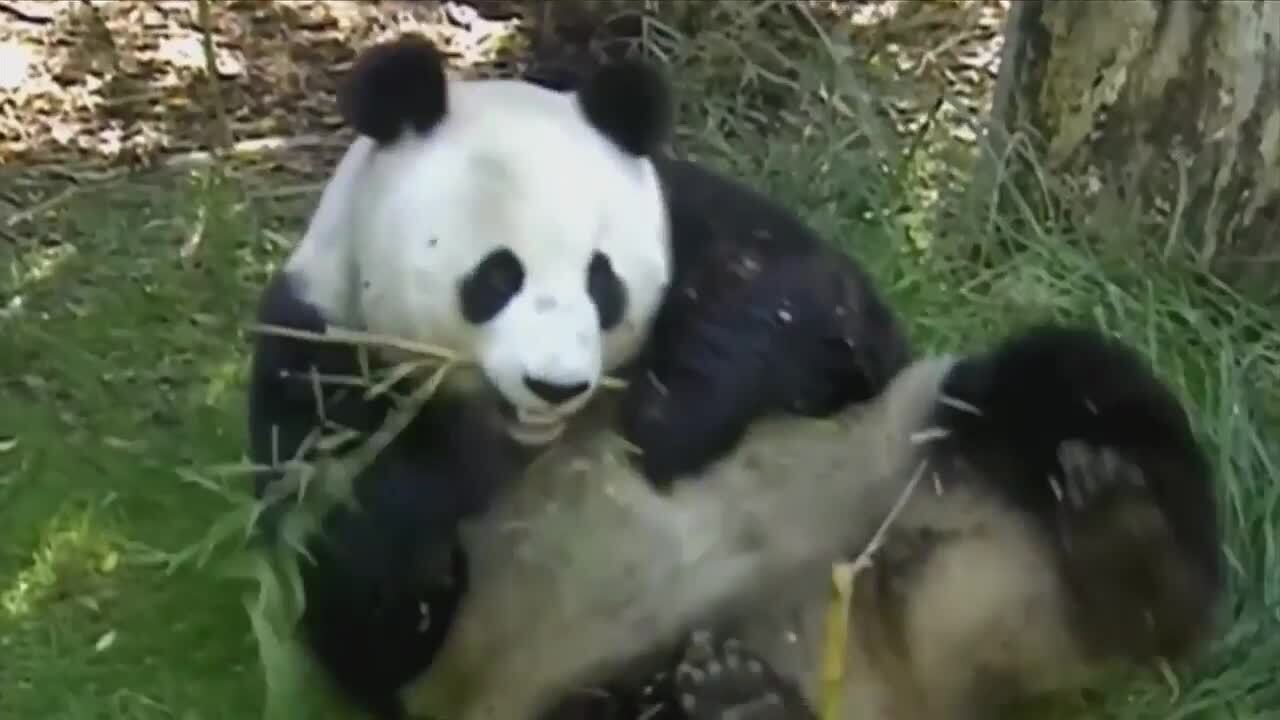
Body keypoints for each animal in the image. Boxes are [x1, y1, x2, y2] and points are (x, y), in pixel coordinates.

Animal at [246, 35, 908, 720]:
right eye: (496, 278)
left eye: (602, 280)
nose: (554, 386)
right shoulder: (318, 351)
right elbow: (351, 574)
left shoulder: (694, 217)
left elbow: (809, 303)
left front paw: (669, 418)